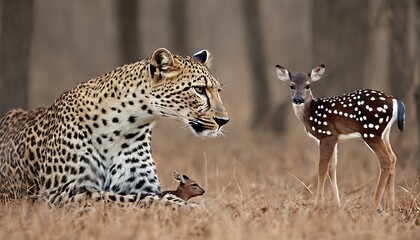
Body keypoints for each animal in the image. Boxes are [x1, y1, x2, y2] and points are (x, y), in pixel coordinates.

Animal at [0, 47, 230, 206]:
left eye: (219, 91)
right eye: (199, 89)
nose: (224, 121)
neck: (126, 125)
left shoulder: (142, 183)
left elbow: (158, 196)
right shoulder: (60, 193)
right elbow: (125, 199)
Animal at [274, 63, 406, 212]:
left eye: (308, 85)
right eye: (291, 85)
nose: (298, 99)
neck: (310, 115)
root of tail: (395, 101)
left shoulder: (327, 135)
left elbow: (322, 168)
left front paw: (318, 205)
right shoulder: (334, 139)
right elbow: (332, 169)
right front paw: (337, 205)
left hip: (371, 132)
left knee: (386, 160)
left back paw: (374, 206)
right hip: (385, 134)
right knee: (393, 157)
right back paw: (391, 206)